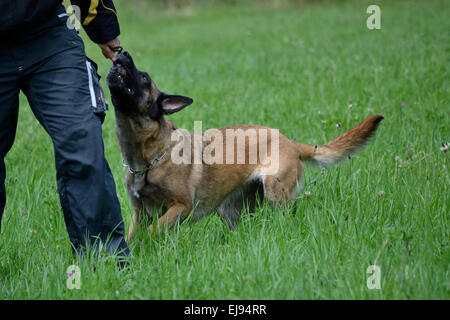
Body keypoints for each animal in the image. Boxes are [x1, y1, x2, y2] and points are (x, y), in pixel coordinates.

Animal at [106, 50, 384, 241]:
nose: (122, 52)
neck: (149, 158)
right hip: (230, 210)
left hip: (276, 191)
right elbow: (132, 237)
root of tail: (290, 142)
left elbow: (152, 232)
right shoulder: (139, 213)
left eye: (144, 77)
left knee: (287, 216)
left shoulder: (180, 207)